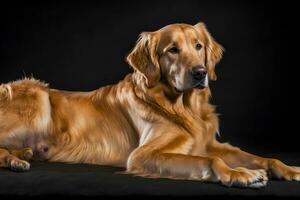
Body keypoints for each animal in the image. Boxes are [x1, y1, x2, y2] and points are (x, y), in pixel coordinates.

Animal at [0, 21, 300, 188]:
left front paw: (288, 169)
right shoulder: (142, 155)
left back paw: (23, 154)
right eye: (172, 50)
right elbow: (211, 160)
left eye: (199, 46)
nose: (200, 73)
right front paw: (241, 174)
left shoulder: (209, 143)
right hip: (37, 95)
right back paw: (15, 160)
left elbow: (258, 156)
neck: (183, 107)